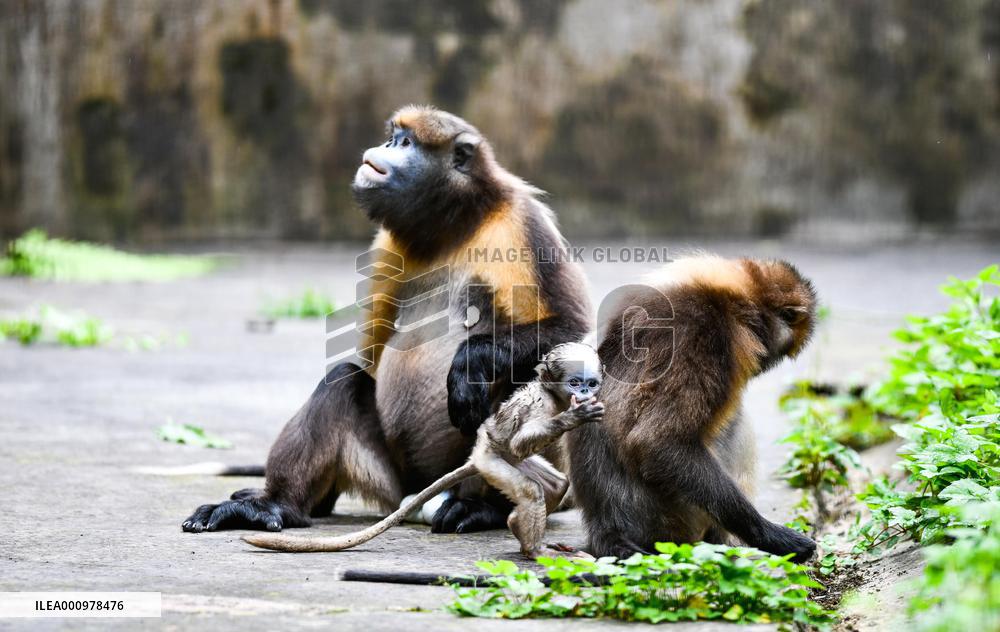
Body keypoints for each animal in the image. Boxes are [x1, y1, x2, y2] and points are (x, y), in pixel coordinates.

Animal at [181, 106, 593, 537]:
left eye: (406, 143)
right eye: (392, 137)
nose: (384, 147)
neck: (454, 228)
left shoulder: (522, 221)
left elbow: (570, 327)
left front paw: (470, 362)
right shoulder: (388, 245)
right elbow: (368, 361)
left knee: (521, 378)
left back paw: (484, 507)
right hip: (391, 478)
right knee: (343, 380)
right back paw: (276, 505)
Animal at [241, 342, 604, 558]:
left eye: (592, 383)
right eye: (575, 382)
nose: (586, 392)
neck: (554, 395)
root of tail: (478, 453)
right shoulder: (541, 404)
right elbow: (520, 438)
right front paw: (573, 417)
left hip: (506, 463)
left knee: (556, 484)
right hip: (492, 460)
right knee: (528, 486)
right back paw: (529, 543)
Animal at [567, 255, 818, 562]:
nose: (764, 362)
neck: (726, 298)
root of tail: (605, 523)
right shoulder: (703, 327)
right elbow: (656, 443)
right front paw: (771, 536)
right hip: (676, 519)